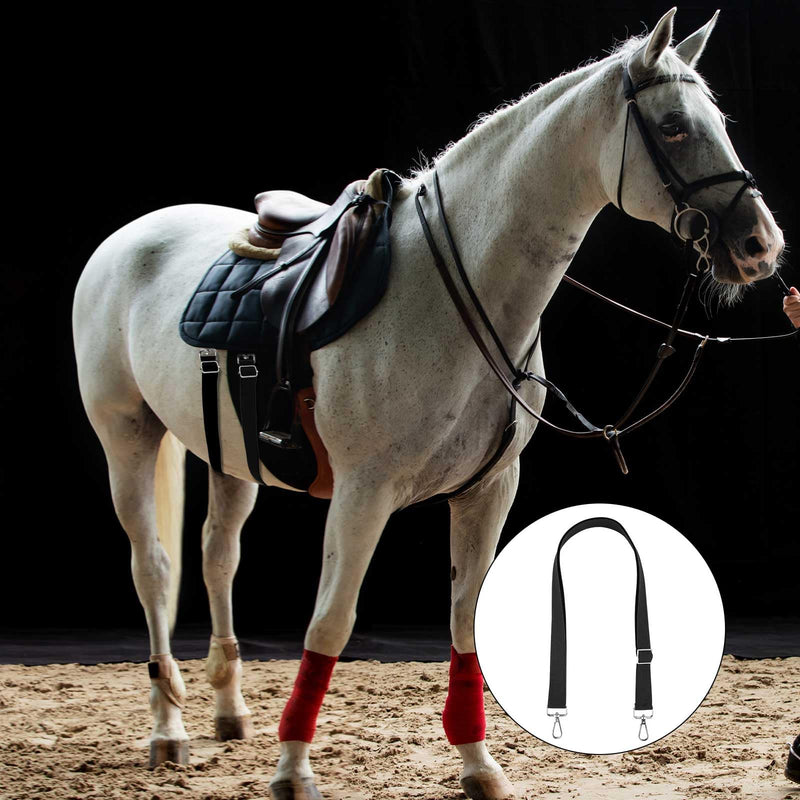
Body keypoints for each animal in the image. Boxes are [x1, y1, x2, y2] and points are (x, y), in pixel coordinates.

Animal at [72, 9, 785, 799]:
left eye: (717, 121)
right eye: (674, 127)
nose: (761, 245)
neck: (448, 292)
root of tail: (130, 238)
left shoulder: (487, 491)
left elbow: (467, 623)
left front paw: (478, 764)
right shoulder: (363, 494)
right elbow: (330, 624)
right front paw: (293, 770)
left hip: (231, 459)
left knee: (216, 557)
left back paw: (228, 712)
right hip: (126, 438)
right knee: (154, 567)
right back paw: (168, 729)